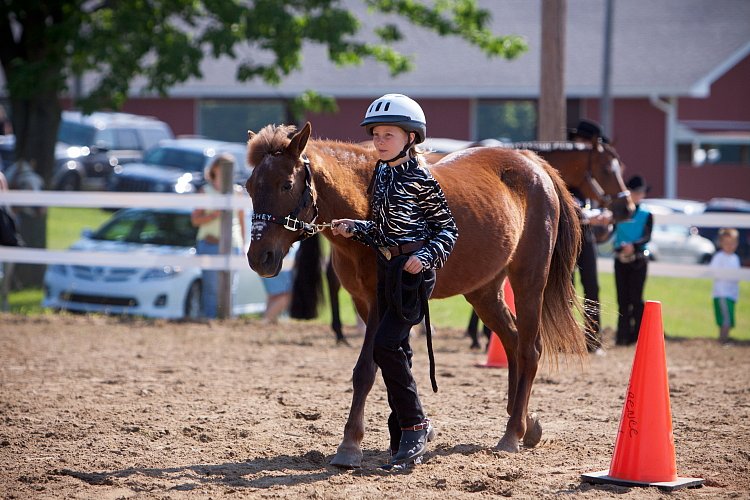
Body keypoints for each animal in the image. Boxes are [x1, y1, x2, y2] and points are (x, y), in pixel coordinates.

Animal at [247, 122, 588, 468]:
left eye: (286, 184)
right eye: (248, 187)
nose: (259, 258)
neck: (366, 206)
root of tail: (534, 163)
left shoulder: (380, 304)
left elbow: (367, 370)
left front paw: (351, 444)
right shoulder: (366, 303)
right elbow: (396, 365)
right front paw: (416, 431)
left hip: (529, 281)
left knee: (529, 349)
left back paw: (512, 434)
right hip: (484, 291)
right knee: (513, 340)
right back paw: (525, 424)